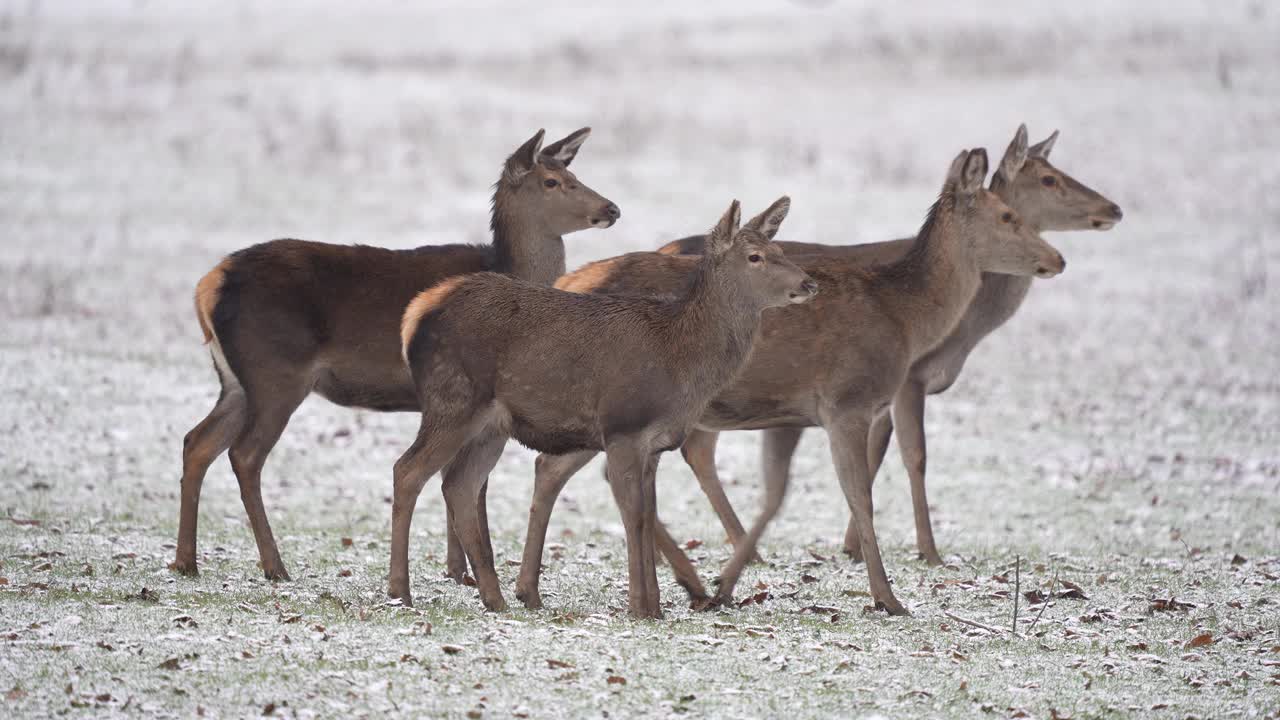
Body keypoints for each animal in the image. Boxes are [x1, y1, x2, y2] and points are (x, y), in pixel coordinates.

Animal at [172, 127, 622, 576]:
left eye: (574, 174)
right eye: (552, 182)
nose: (611, 208)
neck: (510, 269)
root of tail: (208, 285)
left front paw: (458, 569)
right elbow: (471, 484)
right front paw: (466, 569)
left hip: (236, 382)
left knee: (197, 441)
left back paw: (186, 560)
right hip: (276, 373)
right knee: (245, 454)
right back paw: (274, 566)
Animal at [389, 197, 814, 617]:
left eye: (780, 250)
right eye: (755, 257)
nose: (809, 283)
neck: (681, 358)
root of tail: (414, 315)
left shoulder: (654, 444)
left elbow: (647, 514)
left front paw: (654, 607)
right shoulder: (624, 426)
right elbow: (633, 514)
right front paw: (639, 607)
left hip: (492, 425)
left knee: (460, 485)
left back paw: (496, 599)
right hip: (453, 399)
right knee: (407, 471)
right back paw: (400, 593)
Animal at [514, 146, 1064, 609]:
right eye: (1008, 216)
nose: (1057, 259)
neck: (903, 317)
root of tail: (570, 279)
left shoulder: (792, 412)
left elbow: (779, 494)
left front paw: (729, 582)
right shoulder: (846, 400)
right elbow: (860, 495)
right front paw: (888, 598)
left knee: (555, 468)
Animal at [650, 124, 1121, 566]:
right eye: (1048, 179)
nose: (1114, 208)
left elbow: (875, 457)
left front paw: (853, 547)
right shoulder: (908, 377)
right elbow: (914, 456)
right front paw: (927, 552)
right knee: (692, 448)